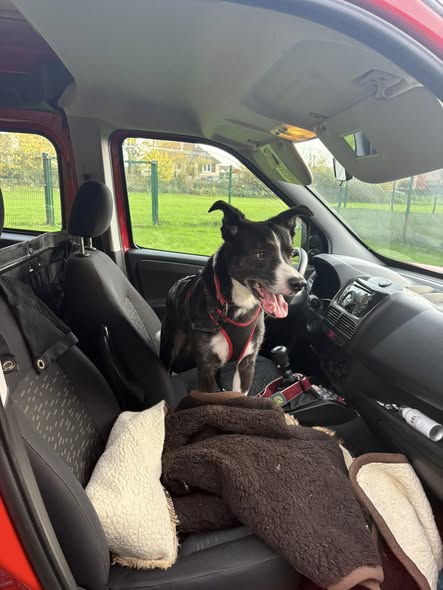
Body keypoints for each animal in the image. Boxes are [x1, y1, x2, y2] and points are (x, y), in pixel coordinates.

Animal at [160, 200, 312, 394]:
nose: (300, 284)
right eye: (261, 254)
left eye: (291, 253)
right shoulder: (205, 366)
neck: (238, 304)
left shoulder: (247, 362)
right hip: (169, 344)